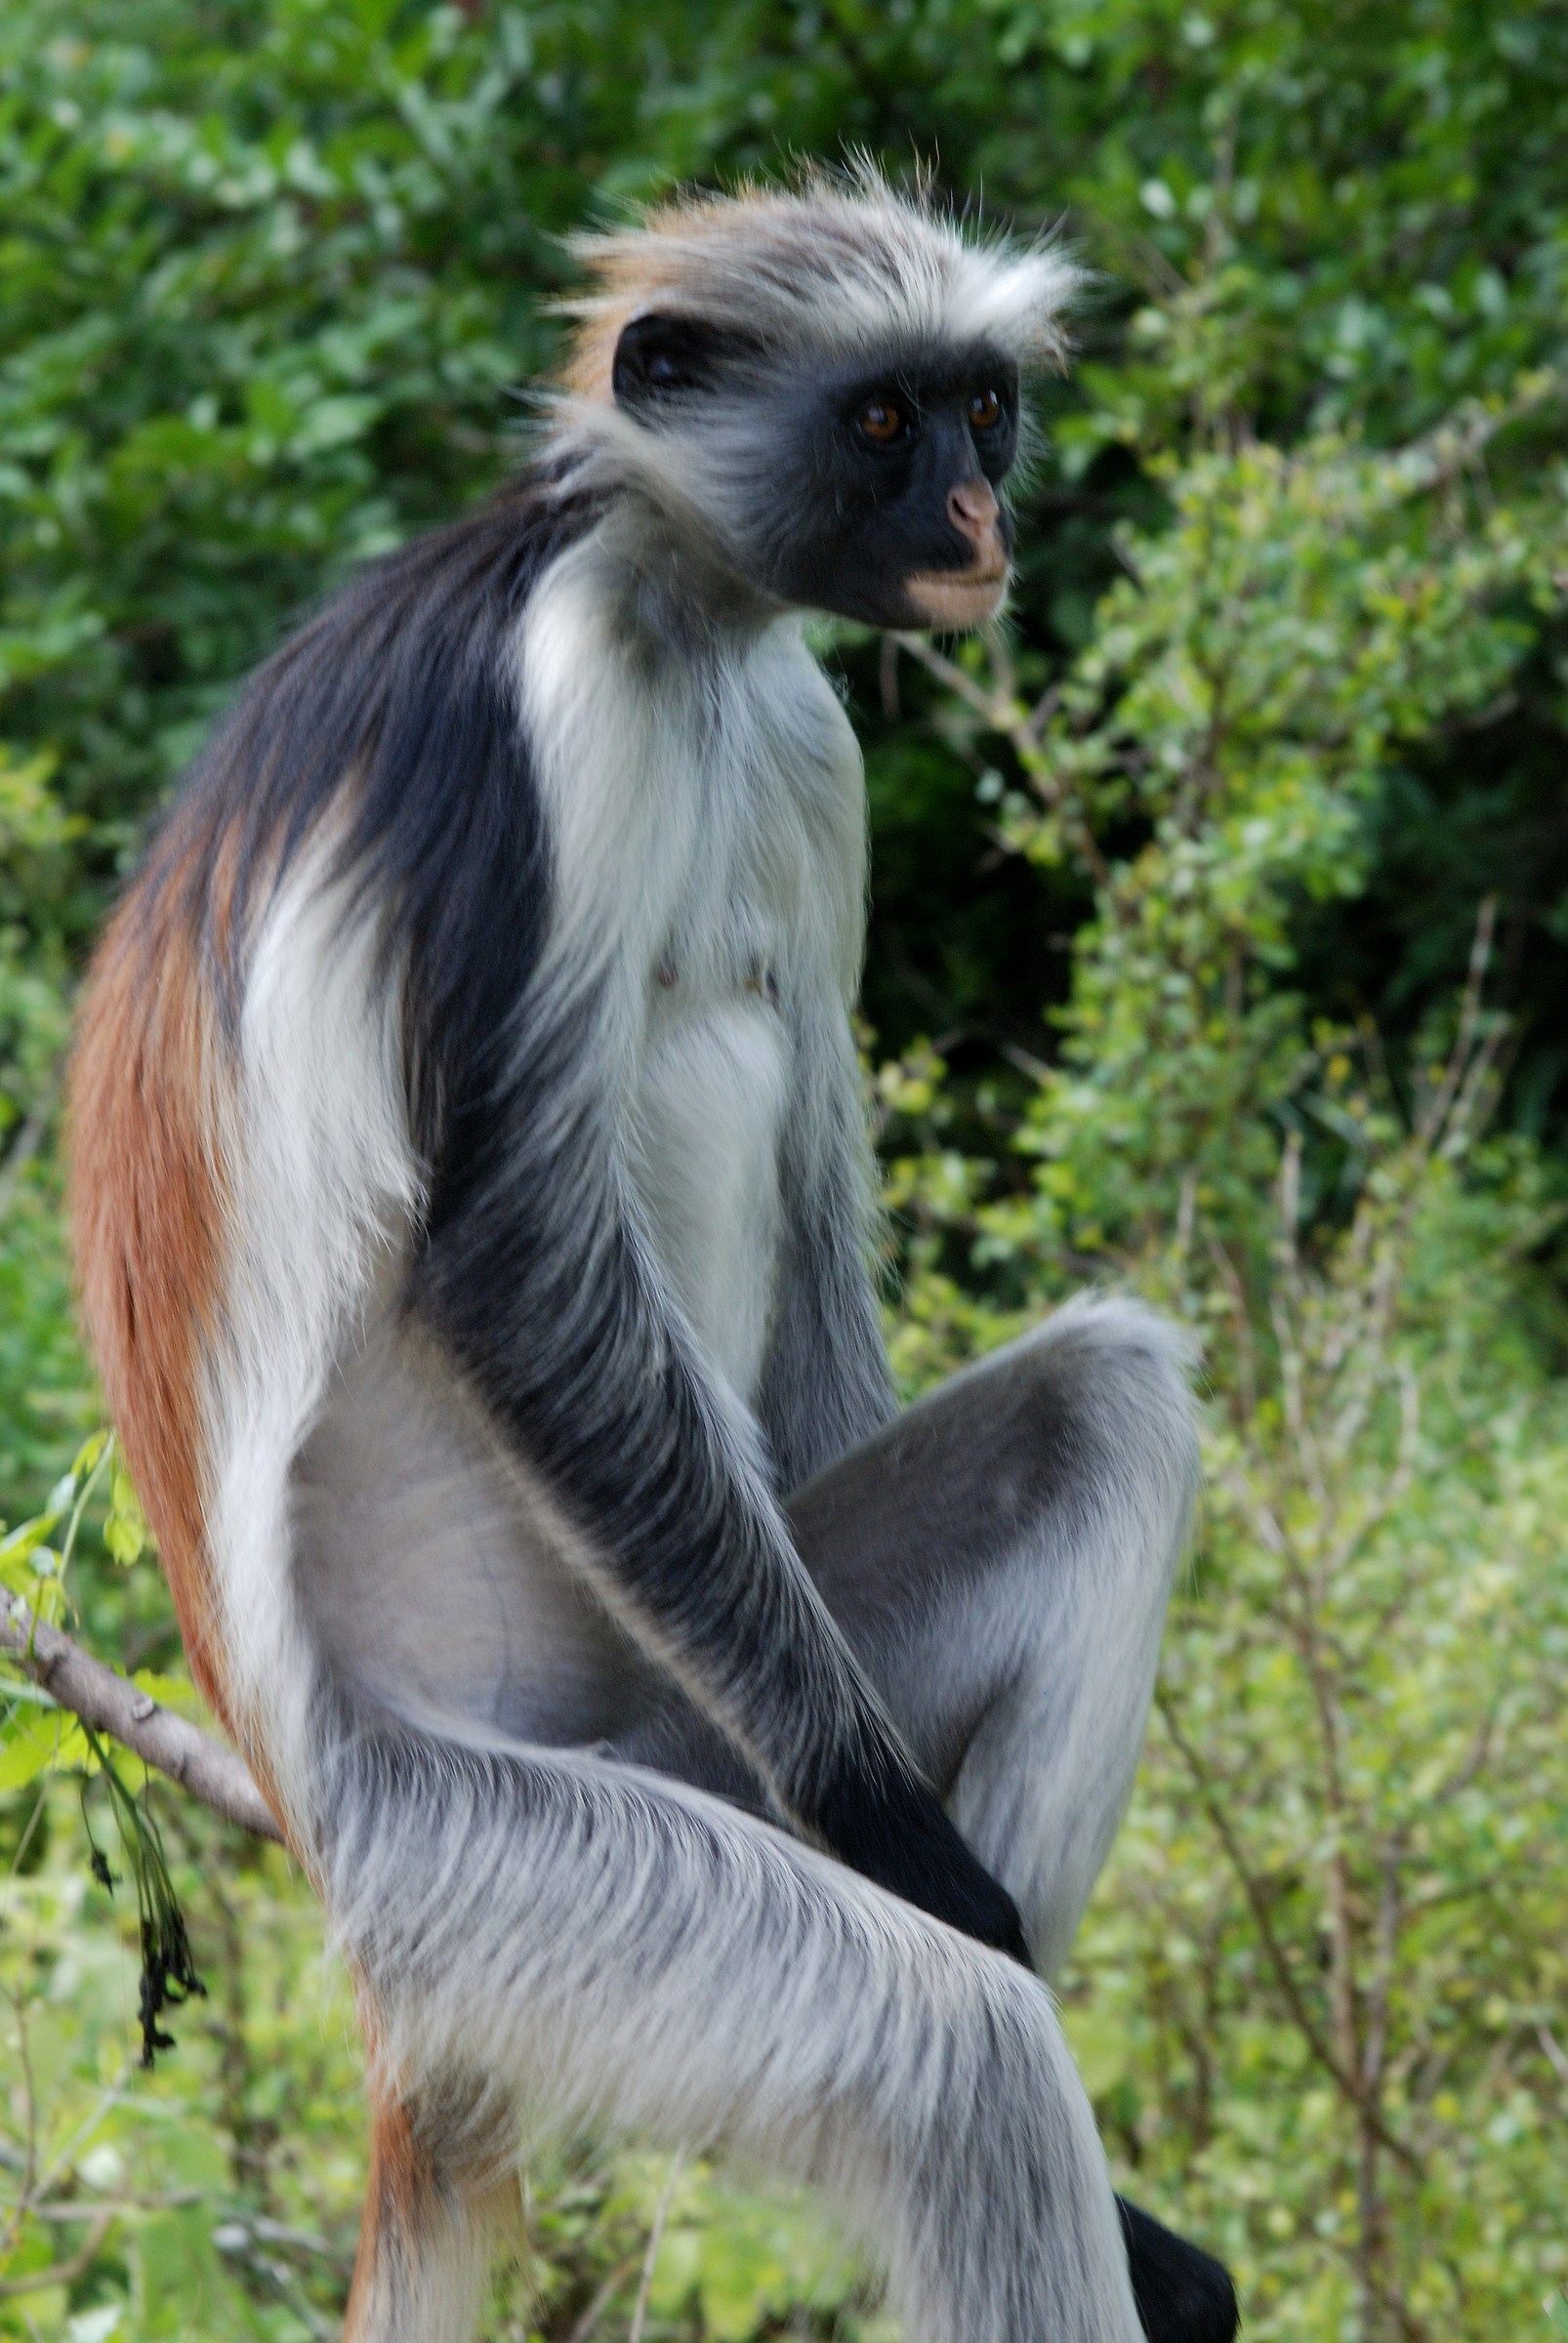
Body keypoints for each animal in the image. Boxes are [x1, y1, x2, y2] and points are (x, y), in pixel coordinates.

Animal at [67, 170, 1238, 2343]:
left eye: (980, 409)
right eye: (882, 422)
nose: (974, 515)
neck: (675, 607)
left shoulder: (794, 728)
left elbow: (815, 1178)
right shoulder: (549, 696)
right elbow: (509, 1256)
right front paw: (914, 1855)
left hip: (694, 1727)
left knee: (1102, 1404)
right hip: (490, 1867)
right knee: (957, 2057)